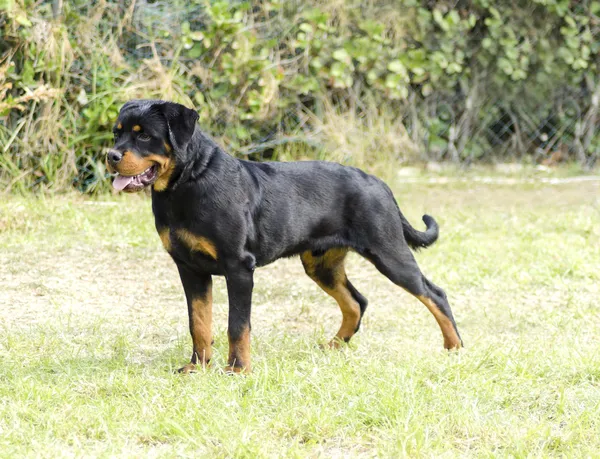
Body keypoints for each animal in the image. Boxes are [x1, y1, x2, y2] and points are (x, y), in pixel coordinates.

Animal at [108, 99, 464, 374]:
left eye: (144, 136)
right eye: (117, 132)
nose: (111, 155)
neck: (187, 184)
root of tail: (380, 183)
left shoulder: (239, 266)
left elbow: (238, 325)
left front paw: (237, 369)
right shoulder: (190, 268)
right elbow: (198, 322)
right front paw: (197, 367)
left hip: (388, 251)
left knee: (434, 293)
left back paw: (454, 347)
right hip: (321, 264)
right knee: (356, 301)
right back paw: (333, 345)